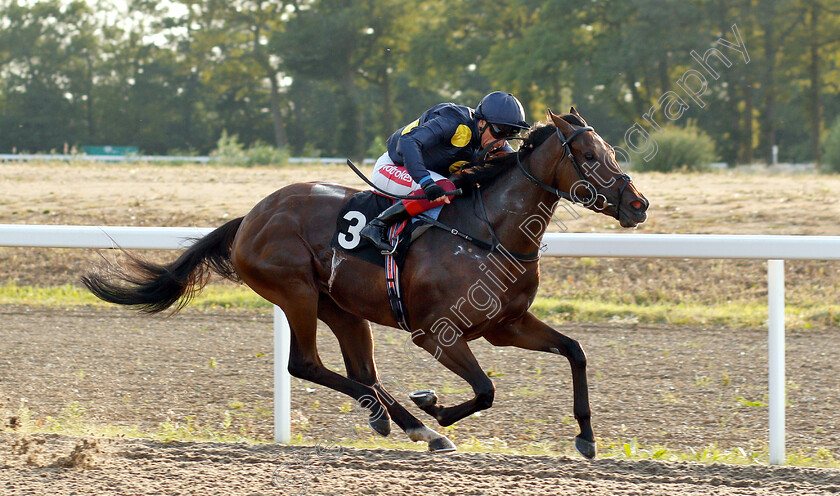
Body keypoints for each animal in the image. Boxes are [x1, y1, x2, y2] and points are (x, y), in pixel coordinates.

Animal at [83, 108, 648, 458]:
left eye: (611, 151)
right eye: (590, 157)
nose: (638, 204)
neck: (489, 230)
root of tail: (250, 218)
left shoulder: (506, 324)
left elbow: (574, 351)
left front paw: (587, 438)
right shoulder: (437, 334)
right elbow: (485, 390)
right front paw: (434, 405)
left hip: (342, 307)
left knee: (362, 370)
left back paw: (404, 423)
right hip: (295, 292)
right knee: (306, 364)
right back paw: (411, 421)